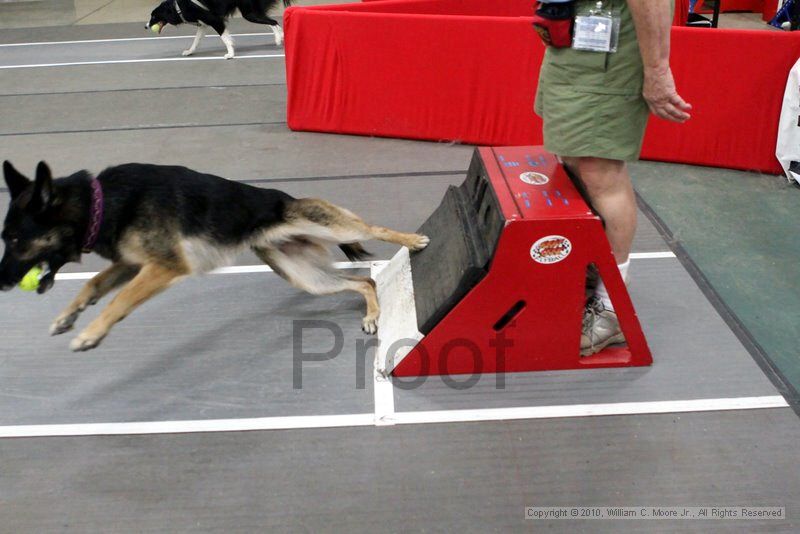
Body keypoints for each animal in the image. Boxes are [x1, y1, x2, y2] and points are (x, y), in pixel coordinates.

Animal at [0, 161, 432, 354]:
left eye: (16, 239)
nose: (2, 282)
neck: (100, 203)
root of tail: (287, 200)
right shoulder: (133, 264)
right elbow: (92, 284)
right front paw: (68, 316)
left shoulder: (163, 267)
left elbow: (118, 300)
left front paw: (91, 332)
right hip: (304, 276)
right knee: (364, 281)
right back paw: (372, 314)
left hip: (333, 228)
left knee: (375, 230)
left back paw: (412, 241)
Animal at [147, 0, 290, 59]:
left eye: (154, 16)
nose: (146, 26)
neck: (177, 7)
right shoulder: (203, 24)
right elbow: (196, 41)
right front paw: (189, 51)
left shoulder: (215, 20)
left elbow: (225, 38)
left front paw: (230, 54)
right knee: (273, 22)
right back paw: (281, 37)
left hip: (250, 14)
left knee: (273, 22)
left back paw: (279, 38)